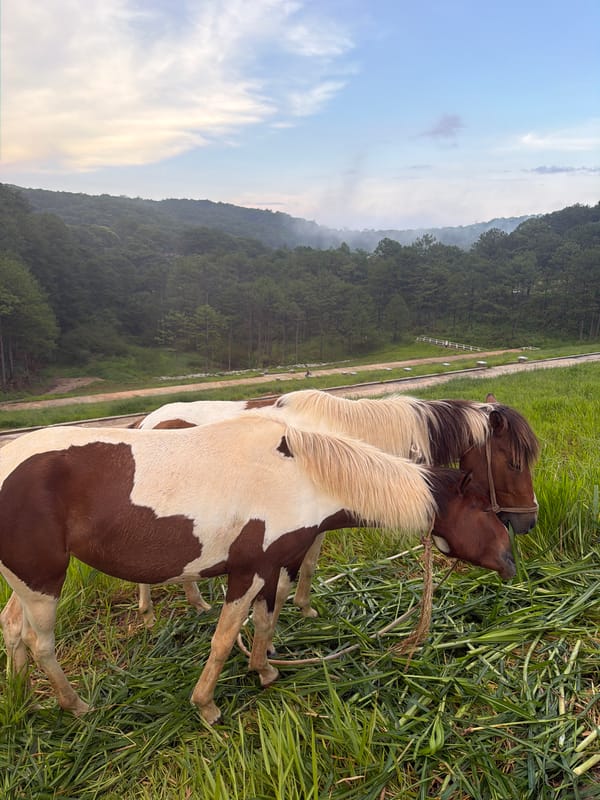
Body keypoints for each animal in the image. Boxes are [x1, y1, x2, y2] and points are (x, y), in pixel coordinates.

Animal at [0, 415, 514, 725]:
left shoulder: (271, 568)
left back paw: (21, 695)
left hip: (27, 581)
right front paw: (206, 706)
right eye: (483, 509)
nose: (511, 561)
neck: (302, 476)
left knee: (12, 628)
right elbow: (225, 637)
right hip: (42, 580)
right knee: (40, 644)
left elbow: (264, 624)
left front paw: (264, 670)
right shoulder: (248, 572)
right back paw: (77, 706)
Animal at [135, 389, 539, 622]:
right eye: (514, 463)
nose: (528, 522)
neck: (339, 437)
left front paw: (305, 608)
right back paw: (148, 613)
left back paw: (197, 604)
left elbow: (309, 566)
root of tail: (146, 420)